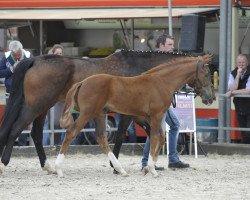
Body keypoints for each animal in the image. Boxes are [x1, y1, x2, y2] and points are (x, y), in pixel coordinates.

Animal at [0, 49, 194, 173]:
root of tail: (35, 60)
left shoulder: (139, 114)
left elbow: (151, 133)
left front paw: (150, 164)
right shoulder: (128, 114)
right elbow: (121, 135)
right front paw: (115, 166)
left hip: (43, 107)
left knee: (35, 133)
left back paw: (47, 166)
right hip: (36, 106)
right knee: (16, 129)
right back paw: (5, 162)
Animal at [55, 54, 214, 177]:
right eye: (207, 74)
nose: (210, 98)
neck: (163, 81)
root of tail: (82, 82)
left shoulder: (152, 116)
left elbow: (161, 138)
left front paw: (148, 168)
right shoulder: (156, 115)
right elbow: (155, 137)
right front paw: (152, 169)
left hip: (100, 114)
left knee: (101, 137)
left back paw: (121, 169)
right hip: (87, 114)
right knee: (71, 133)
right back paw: (59, 169)